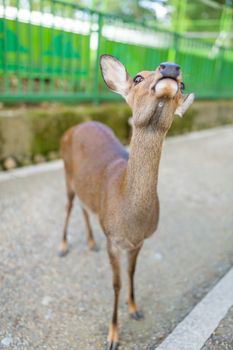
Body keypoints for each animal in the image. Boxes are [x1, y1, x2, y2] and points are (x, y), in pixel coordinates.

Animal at [58, 55, 195, 350]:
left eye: (183, 85)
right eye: (138, 77)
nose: (170, 67)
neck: (131, 220)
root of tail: (74, 127)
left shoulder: (140, 241)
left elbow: (132, 273)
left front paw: (135, 309)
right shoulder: (113, 238)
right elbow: (116, 283)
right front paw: (112, 336)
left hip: (84, 187)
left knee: (85, 208)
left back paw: (90, 242)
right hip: (66, 173)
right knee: (69, 205)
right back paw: (63, 246)